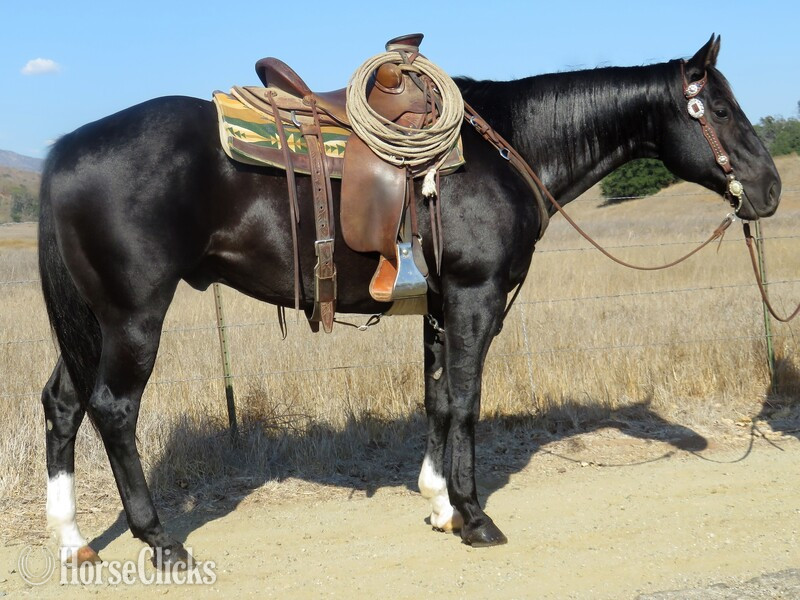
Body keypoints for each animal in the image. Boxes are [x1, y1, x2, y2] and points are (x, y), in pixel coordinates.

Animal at [38, 35, 780, 567]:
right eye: (717, 109)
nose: (770, 189)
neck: (507, 147)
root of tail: (66, 150)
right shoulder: (477, 297)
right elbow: (466, 399)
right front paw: (474, 515)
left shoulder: (440, 305)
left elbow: (437, 398)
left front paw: (439, 503)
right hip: (134, 316)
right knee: (113, 409)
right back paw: (159, 539)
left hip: (92, 322)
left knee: (63, 404)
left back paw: (73, 540)